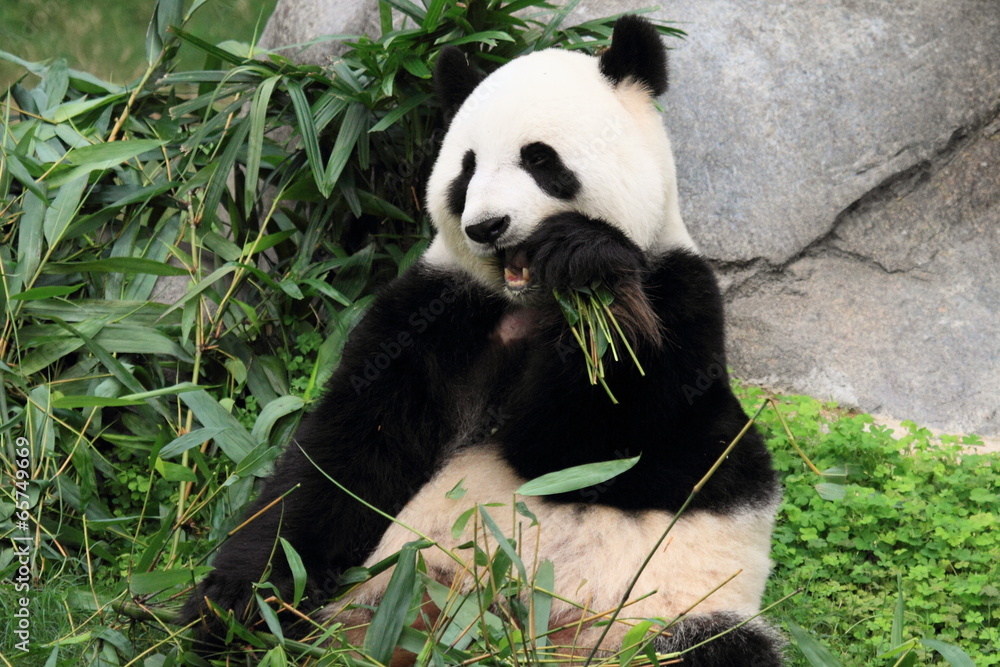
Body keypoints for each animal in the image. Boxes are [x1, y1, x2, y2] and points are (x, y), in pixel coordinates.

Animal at [180, 15, 784, 666]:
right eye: (465, 170)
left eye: (540, 159)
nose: (487, 227)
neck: (525, 306)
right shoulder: (436, 313)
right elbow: (348, 451)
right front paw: (235, 605)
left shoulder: (678, 296)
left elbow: (607, 439)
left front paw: (583, 268)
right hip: (385, 591)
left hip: (663, 618)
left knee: (719, 647)